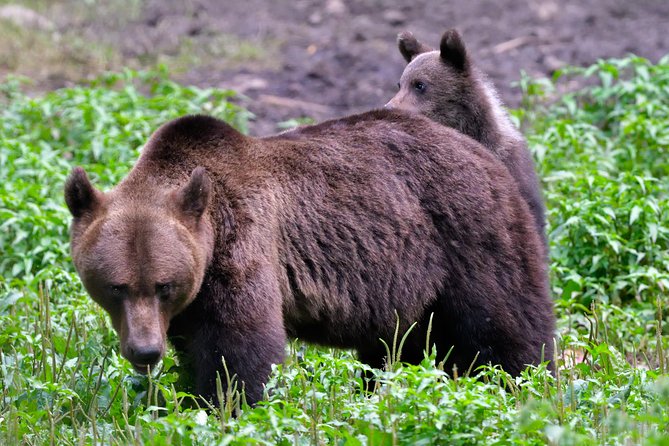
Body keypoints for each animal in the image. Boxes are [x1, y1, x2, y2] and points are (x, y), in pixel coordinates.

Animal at [65, 109, 552, 404]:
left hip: (467, 235)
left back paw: (529, 386)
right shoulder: (193, 293)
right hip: (409, 285)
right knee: (400, 347)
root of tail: (483, 149)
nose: (145, 351)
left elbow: (239, 350)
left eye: (163, 285)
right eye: (116, 287)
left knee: (504, 327)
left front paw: (227, 405)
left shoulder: (243, 247)